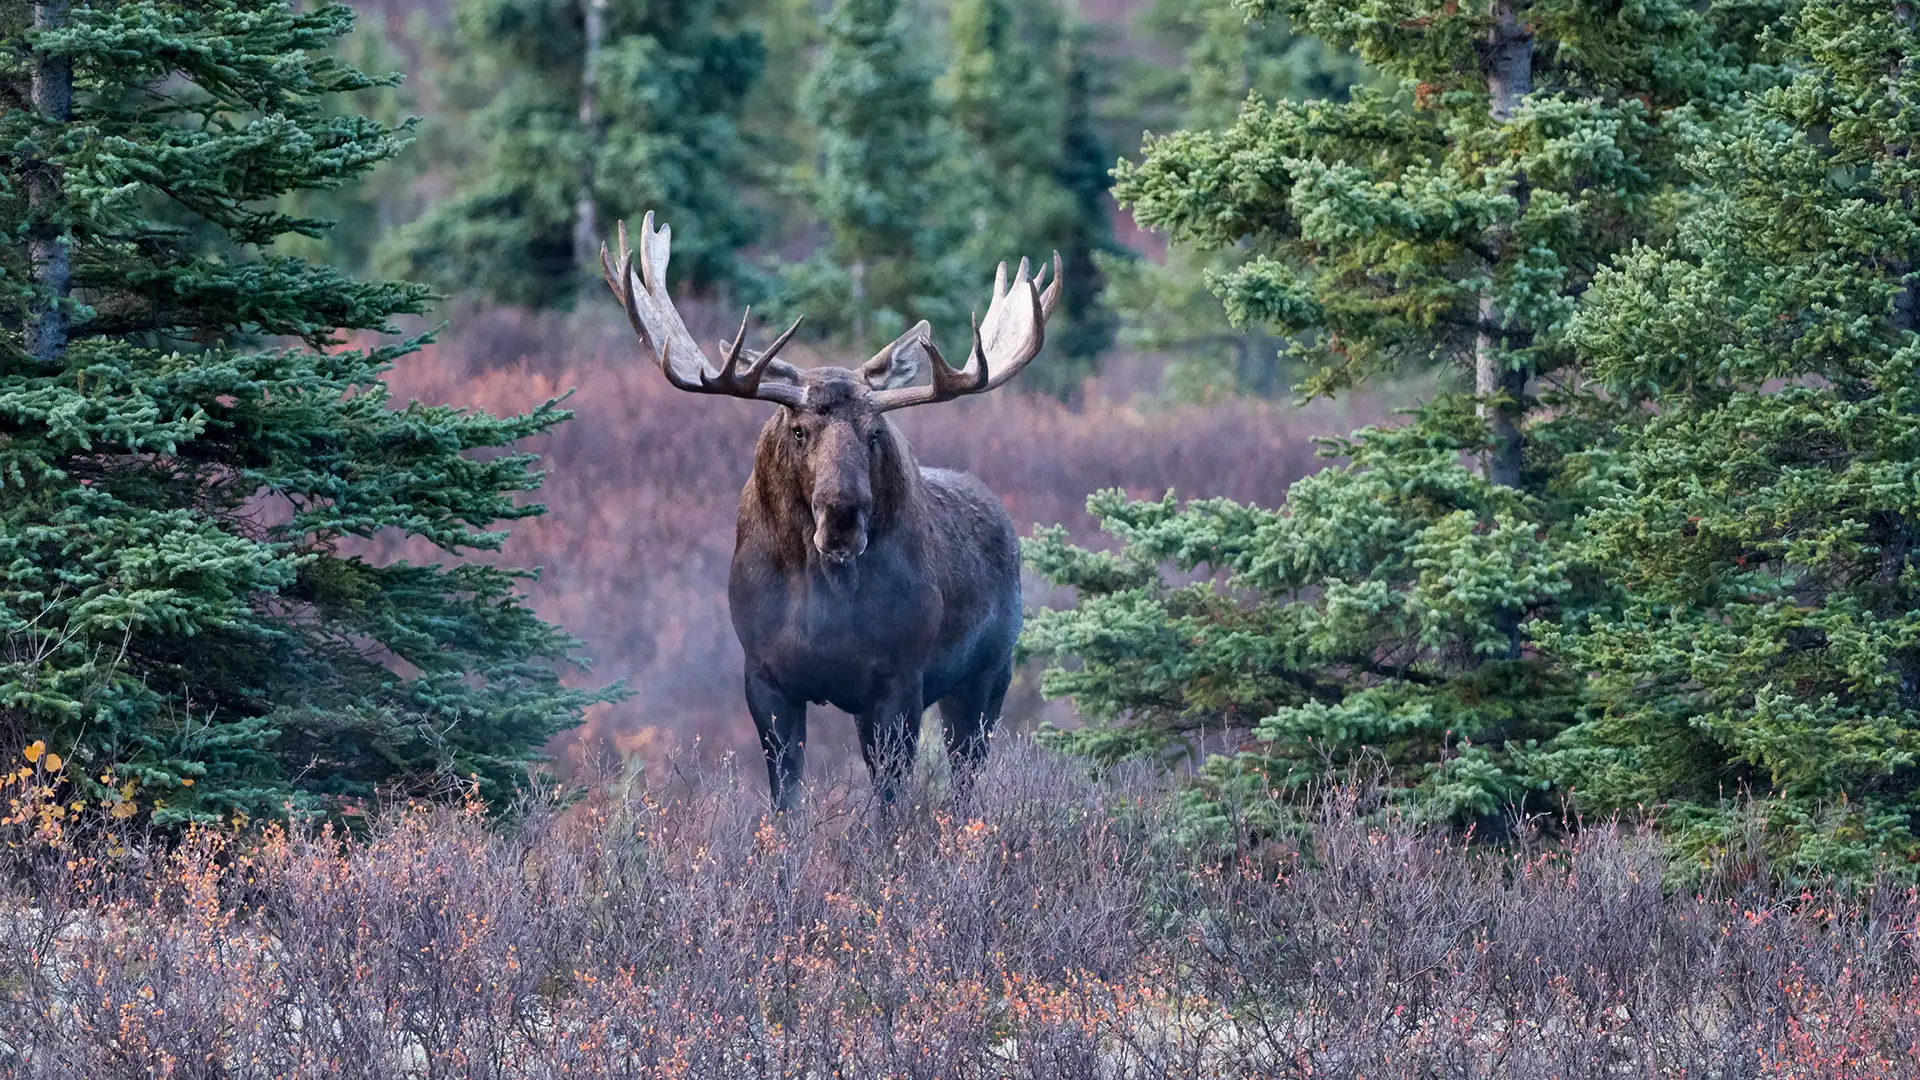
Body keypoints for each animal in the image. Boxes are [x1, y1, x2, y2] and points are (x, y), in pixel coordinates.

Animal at [602, 212, 1067, 807]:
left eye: (875, 433)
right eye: (799, 430)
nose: (842, 517)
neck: (821, 602)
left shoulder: (900, 680)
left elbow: (890, 801)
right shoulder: (765, 677)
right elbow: (786, 798)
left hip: (988, 675)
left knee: (967, 775)